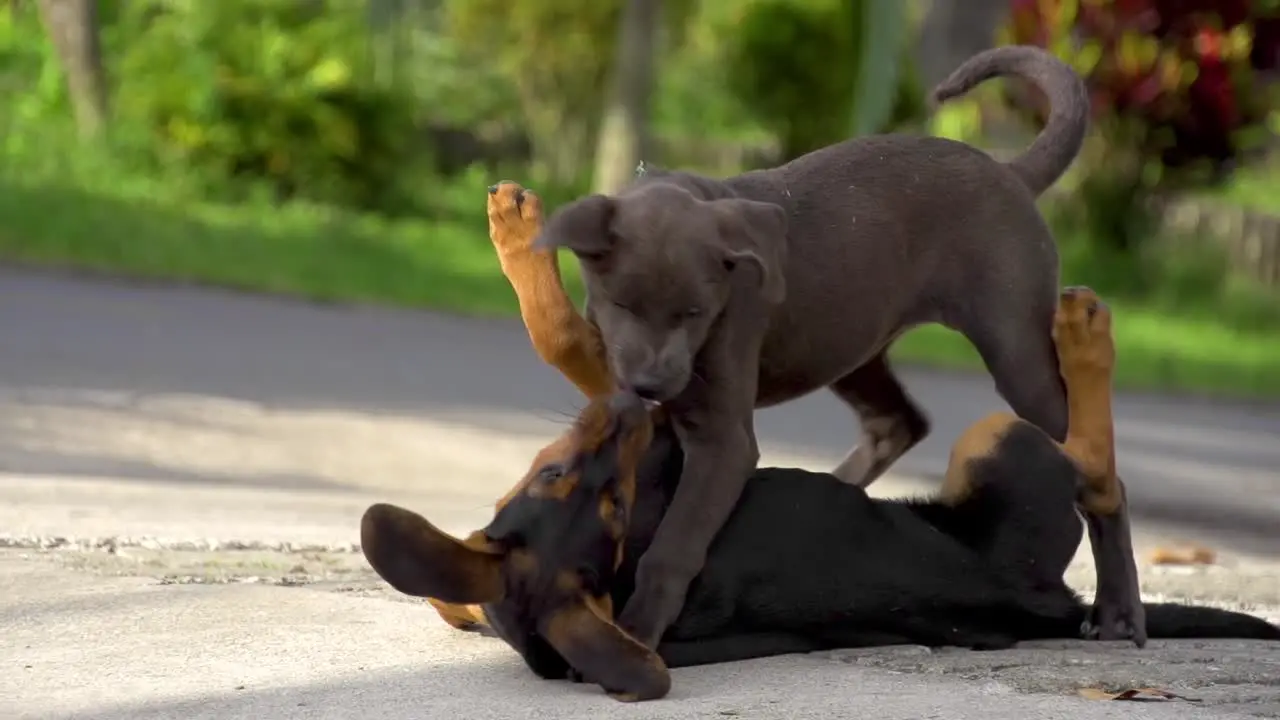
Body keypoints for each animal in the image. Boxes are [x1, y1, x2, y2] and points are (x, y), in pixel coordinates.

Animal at [532, 43, 1152, 645]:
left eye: (696, 313)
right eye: (622, 306)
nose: (651, 387)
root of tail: (1009, 174)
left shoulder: (722, 438)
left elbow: (676, 543)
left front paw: (637, 631)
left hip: (1015, 348)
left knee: (1100, 471)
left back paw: (1119, 612)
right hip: (850, 344)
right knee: (900, 422)